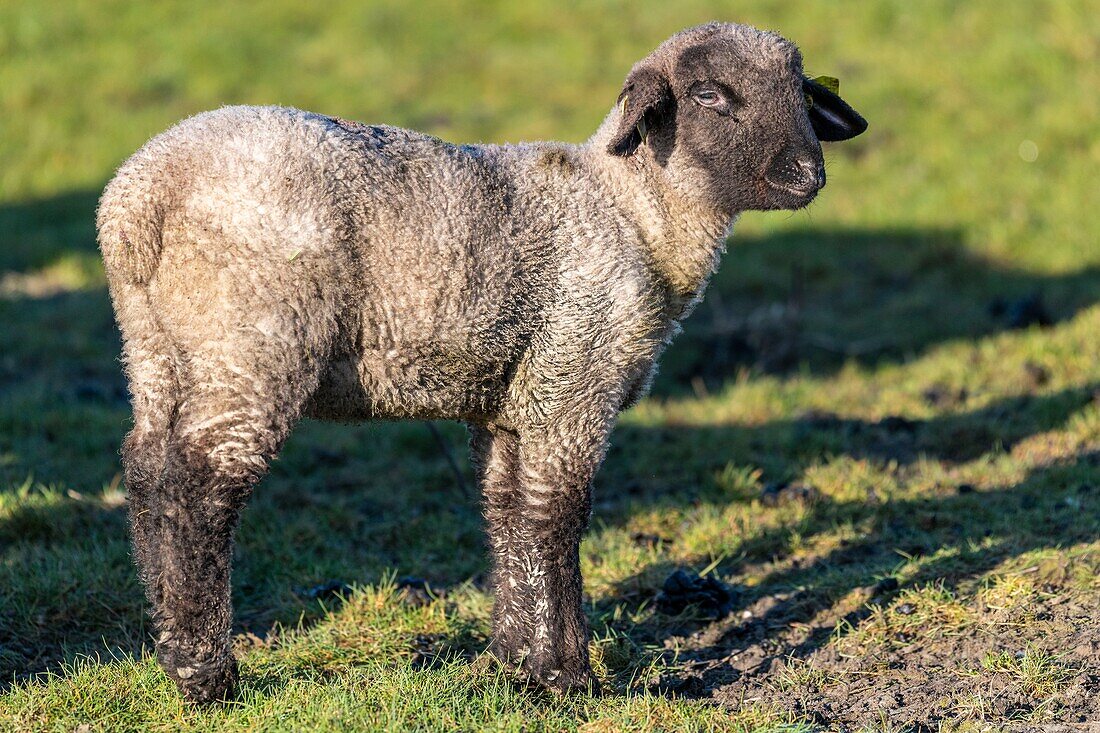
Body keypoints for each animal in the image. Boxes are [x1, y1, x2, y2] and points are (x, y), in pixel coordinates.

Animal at [96, 19, 866, 699]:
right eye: (709, 95)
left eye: (801, 93)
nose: (805, 175)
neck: (634, 211)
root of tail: (139, 201)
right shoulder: (575, 377)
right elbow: (557, 516)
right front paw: (569, 676)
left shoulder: (514, 400)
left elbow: (509, 513)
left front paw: (516, 663)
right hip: (249, 342)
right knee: (199, 487)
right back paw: (206, 676)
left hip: (157, 347)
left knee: (148, 468)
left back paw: (168, 644)